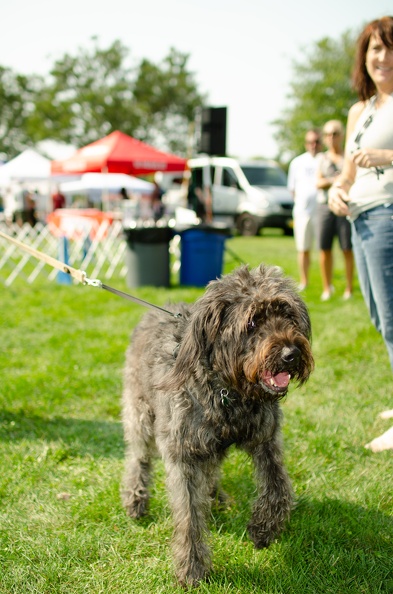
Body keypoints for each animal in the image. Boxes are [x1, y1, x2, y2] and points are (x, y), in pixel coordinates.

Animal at [121, 264, 314, 584]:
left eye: (287, 314)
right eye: (252, 322)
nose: (291, 354)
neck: (229, 392)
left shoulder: (266, 440)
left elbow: (279, 488)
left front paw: (263, 529)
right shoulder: (183, 454)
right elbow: (189, 516)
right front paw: (192, 568)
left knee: (210, 470)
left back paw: (215, 495)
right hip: (141, 414)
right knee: (138, 457)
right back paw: (136, 499)